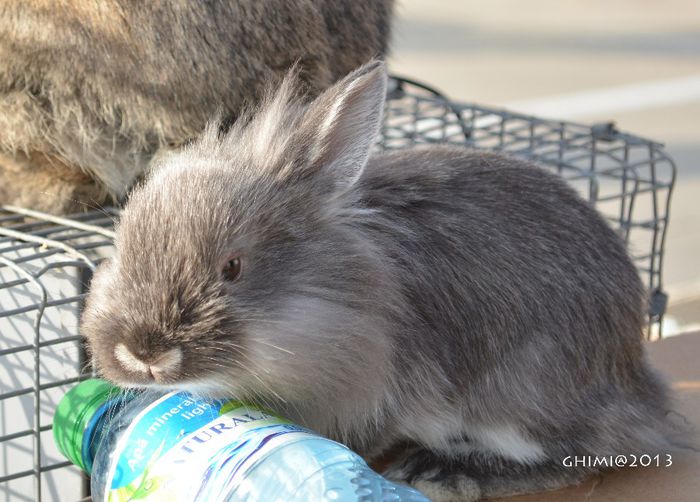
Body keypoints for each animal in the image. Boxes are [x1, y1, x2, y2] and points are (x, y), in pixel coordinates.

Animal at [80, 60, 684, 500]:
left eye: (232, 268)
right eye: (121, 247)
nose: (143, 353)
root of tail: (640, 384)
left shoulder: (382, 396)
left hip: (522, 393)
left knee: (582, 454)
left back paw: (443, 472)